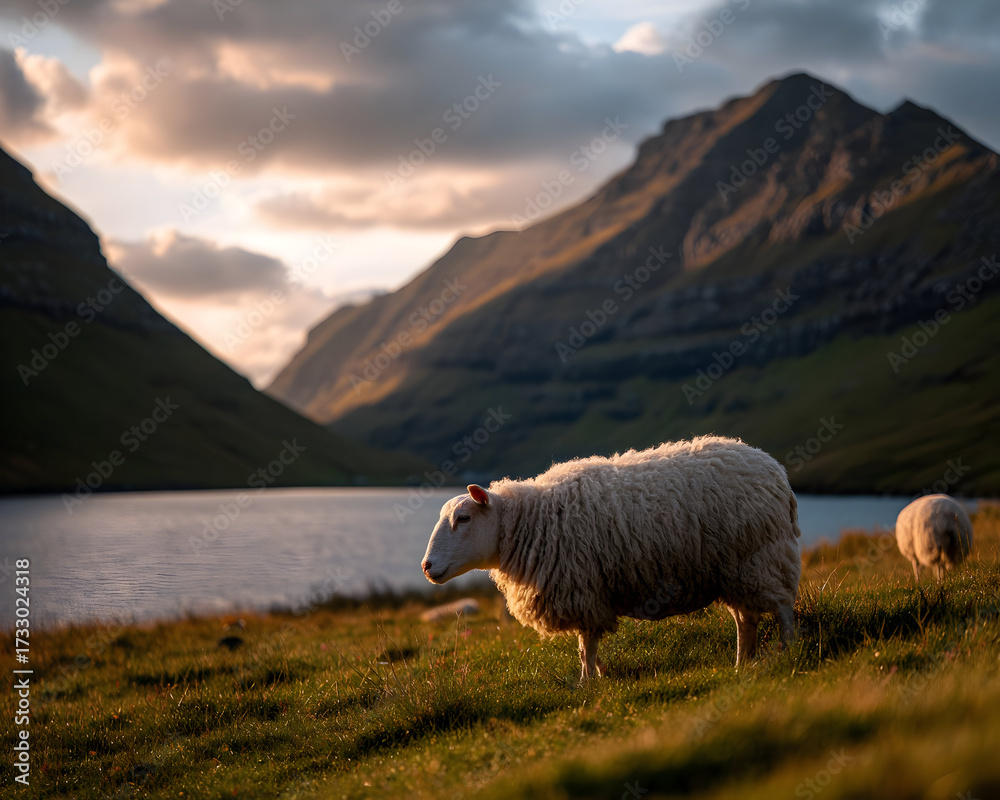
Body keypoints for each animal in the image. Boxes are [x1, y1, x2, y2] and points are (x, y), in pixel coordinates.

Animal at [420, 435, 801, 683]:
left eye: (463, 518)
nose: (425, 567)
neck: (529, 522)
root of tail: (775, 470)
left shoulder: (581, 589)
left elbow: (585, 644)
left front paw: (588, 682)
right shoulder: (586, 593)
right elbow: (586, 645)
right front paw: (601, 674)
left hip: (762, 557)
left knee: (782, 607)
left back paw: (789, 652)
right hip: (734, 569)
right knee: (745, 619)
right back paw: (742, 664)